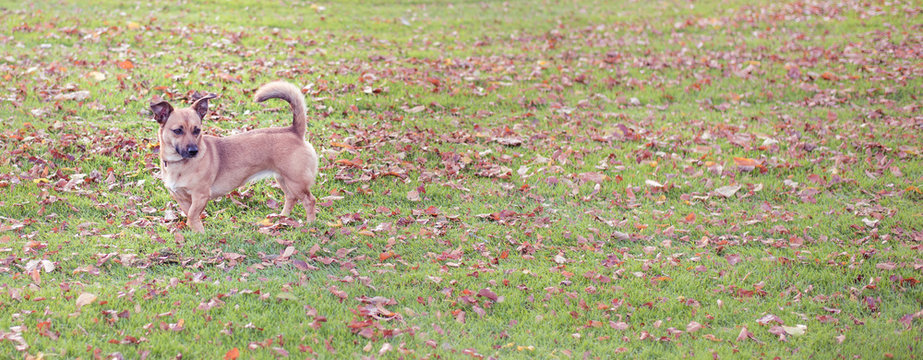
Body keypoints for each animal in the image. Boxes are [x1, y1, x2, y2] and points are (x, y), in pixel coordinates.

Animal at [151, 81, 318, 233]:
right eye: (177, 131)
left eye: (197, 130)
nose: (194, 151)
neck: (178, 163)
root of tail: (294, 131)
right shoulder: (182, 198)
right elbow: (190, 215)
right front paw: (194, 232)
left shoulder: (200, 196)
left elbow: (192, 215)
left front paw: (200, 235)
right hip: (283, 179)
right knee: (291, 197)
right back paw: (282, 217)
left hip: (296, 182)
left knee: (309, 201)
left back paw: (310, 225)